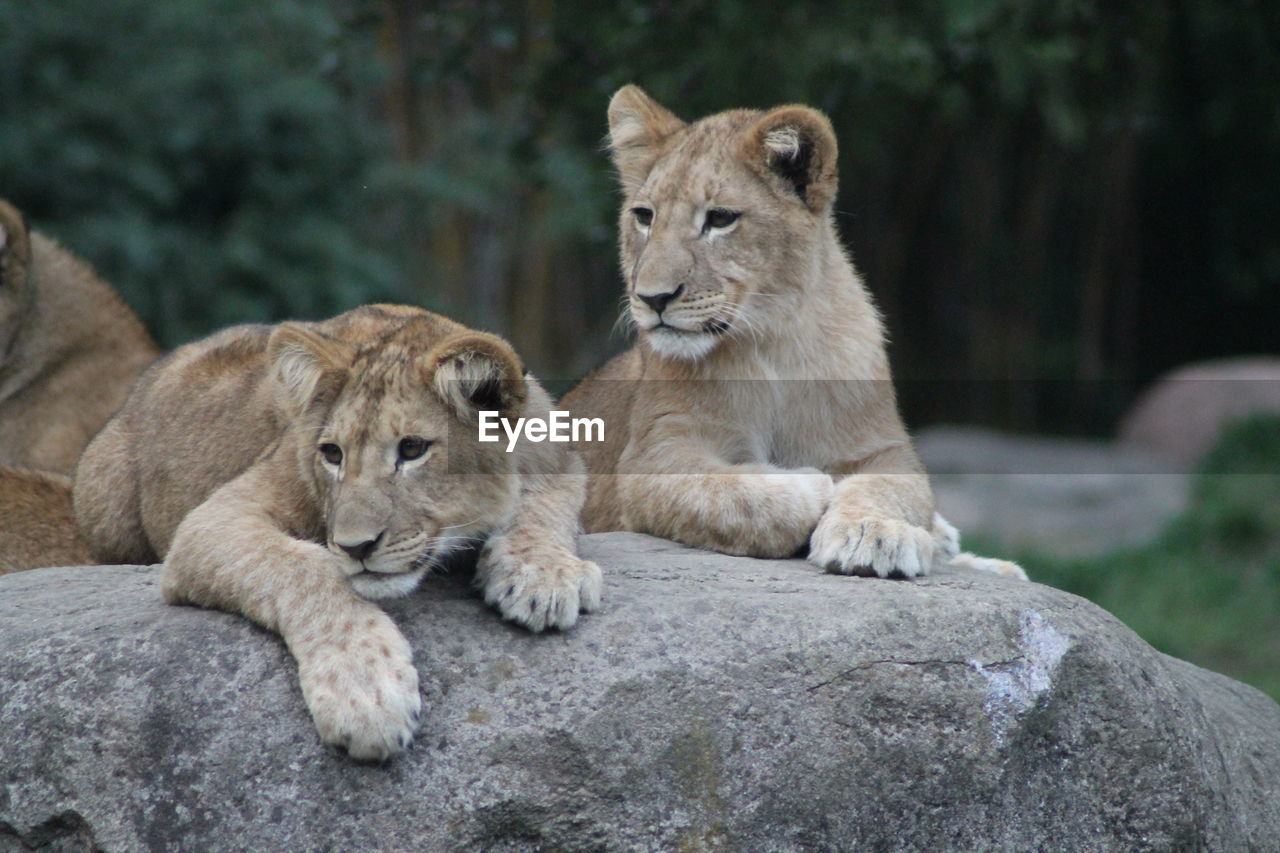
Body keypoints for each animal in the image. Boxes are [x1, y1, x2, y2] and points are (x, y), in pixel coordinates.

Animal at [76, 302, 604, 753]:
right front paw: (366, 693)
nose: (356, 547)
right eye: (333, 454)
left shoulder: (561, 457)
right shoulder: (214, 519)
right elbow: (305, 567)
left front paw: (543, 578)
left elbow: (542, 508)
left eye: (412, 449)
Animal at [565, 84, 1024, 578]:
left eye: (720, 218)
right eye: (644, 216)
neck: (772, 340)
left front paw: (874, 533)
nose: (652, 298)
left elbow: (890, 488)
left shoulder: (882, 445)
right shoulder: (654, 450)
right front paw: (810, 486)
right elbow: (720, 493)